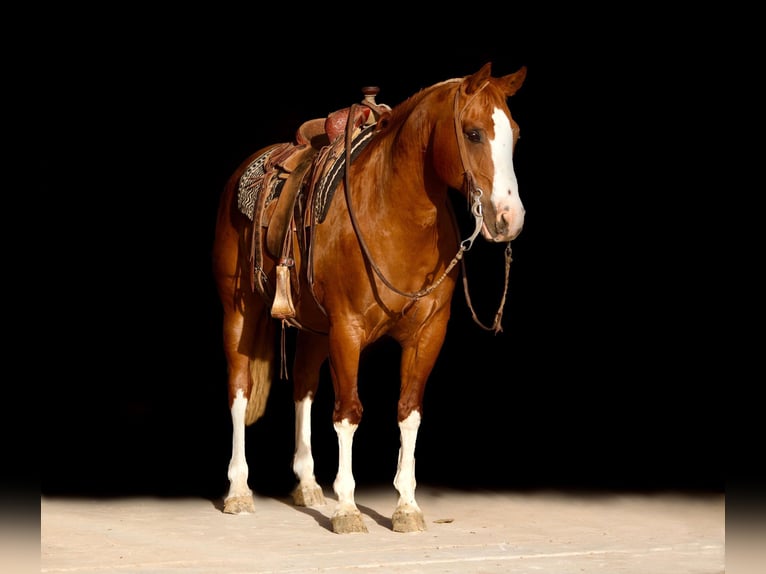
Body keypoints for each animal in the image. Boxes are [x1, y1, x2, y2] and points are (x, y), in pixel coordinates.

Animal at [213, 62, 532, 536]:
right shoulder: (348, 330)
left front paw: (407, 506)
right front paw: (347, 508)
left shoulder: (426, 334)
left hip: (314, 328)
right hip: (241, 312)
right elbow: (348, 412)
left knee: (303, 388)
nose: (509, 219)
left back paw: (307, 485)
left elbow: (408, 411)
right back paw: (238, 491)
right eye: (473, 133)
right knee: (239, 389)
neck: (393, 214)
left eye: (515, 133)